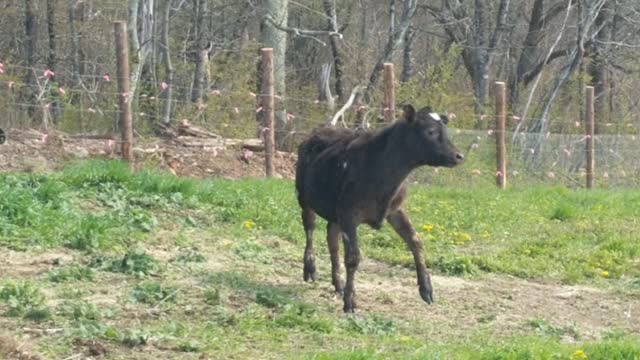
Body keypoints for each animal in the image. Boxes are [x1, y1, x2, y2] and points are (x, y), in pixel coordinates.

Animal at [296, 105, 464, 312]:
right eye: (430, 131)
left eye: (445, 130)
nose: (459, 156)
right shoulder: (349, 215)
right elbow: (353, 258)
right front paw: (350, 302)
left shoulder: (395, 209)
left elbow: (415, 241)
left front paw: (426, 288)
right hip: (304, 197)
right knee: (310, 229)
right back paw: (310, 269)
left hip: (335, 212)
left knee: (332, 239)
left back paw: (338, 283)